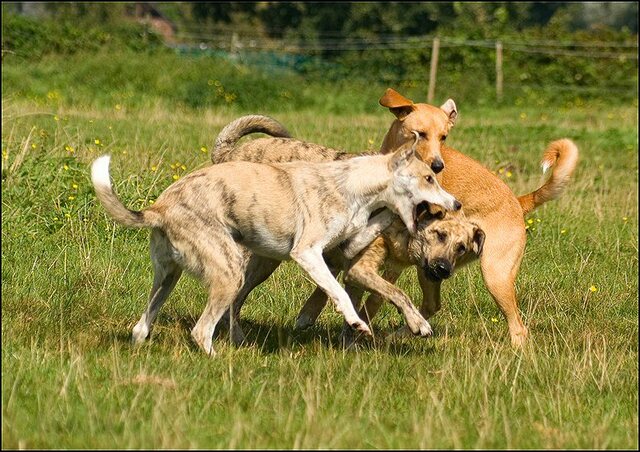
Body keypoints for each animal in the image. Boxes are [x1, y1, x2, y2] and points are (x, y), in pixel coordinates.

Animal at [91, 136, 460, 354]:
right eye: (429, 178)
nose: (455, 204)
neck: (351, 184)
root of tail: (159, 208)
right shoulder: (308, 253)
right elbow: (338, 292)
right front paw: (357, 323)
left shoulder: (351, 241)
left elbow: (375, 226)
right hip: (230, 272)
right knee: (201, 331)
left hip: (167, 278)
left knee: (142, 327)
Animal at [211, 92, 580, 346]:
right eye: (418, 134)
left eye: (444, 137)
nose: (437, 166)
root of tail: (519, 201)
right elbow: (356, 293)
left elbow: (366, 296)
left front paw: (352, 330)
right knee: (237, 296)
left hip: (491, 274)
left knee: (513, 324)